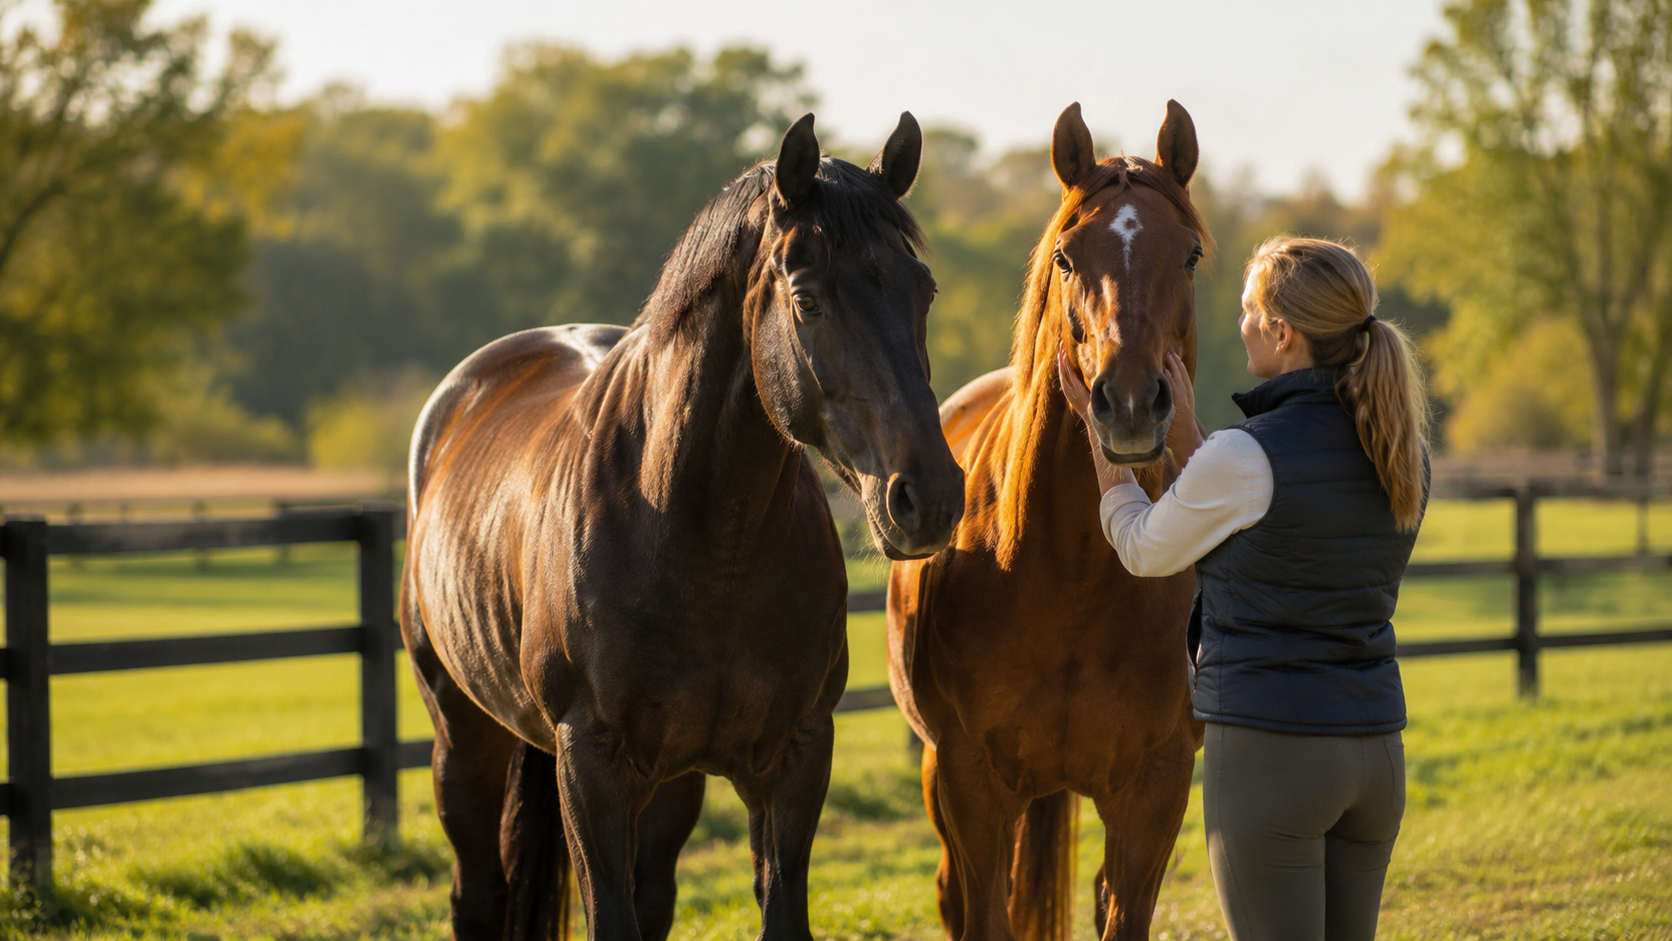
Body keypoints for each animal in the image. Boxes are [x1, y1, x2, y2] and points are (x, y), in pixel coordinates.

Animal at [402, 112, 965, 941]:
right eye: (808, 298)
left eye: (922, 289)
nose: (928, 497)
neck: (697, 538)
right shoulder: (592, 765)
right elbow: (609, 915)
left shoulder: (795, 757)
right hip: (465, 737)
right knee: (477, 896)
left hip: (668, 785)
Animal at [886, 101, 1210, 941]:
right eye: (1066, 256)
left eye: (1191, 255)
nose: (1127, 402)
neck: (1068, 573)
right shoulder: (970, 783)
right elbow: (985, 913)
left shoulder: (1157, 787)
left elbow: (1123, 912)